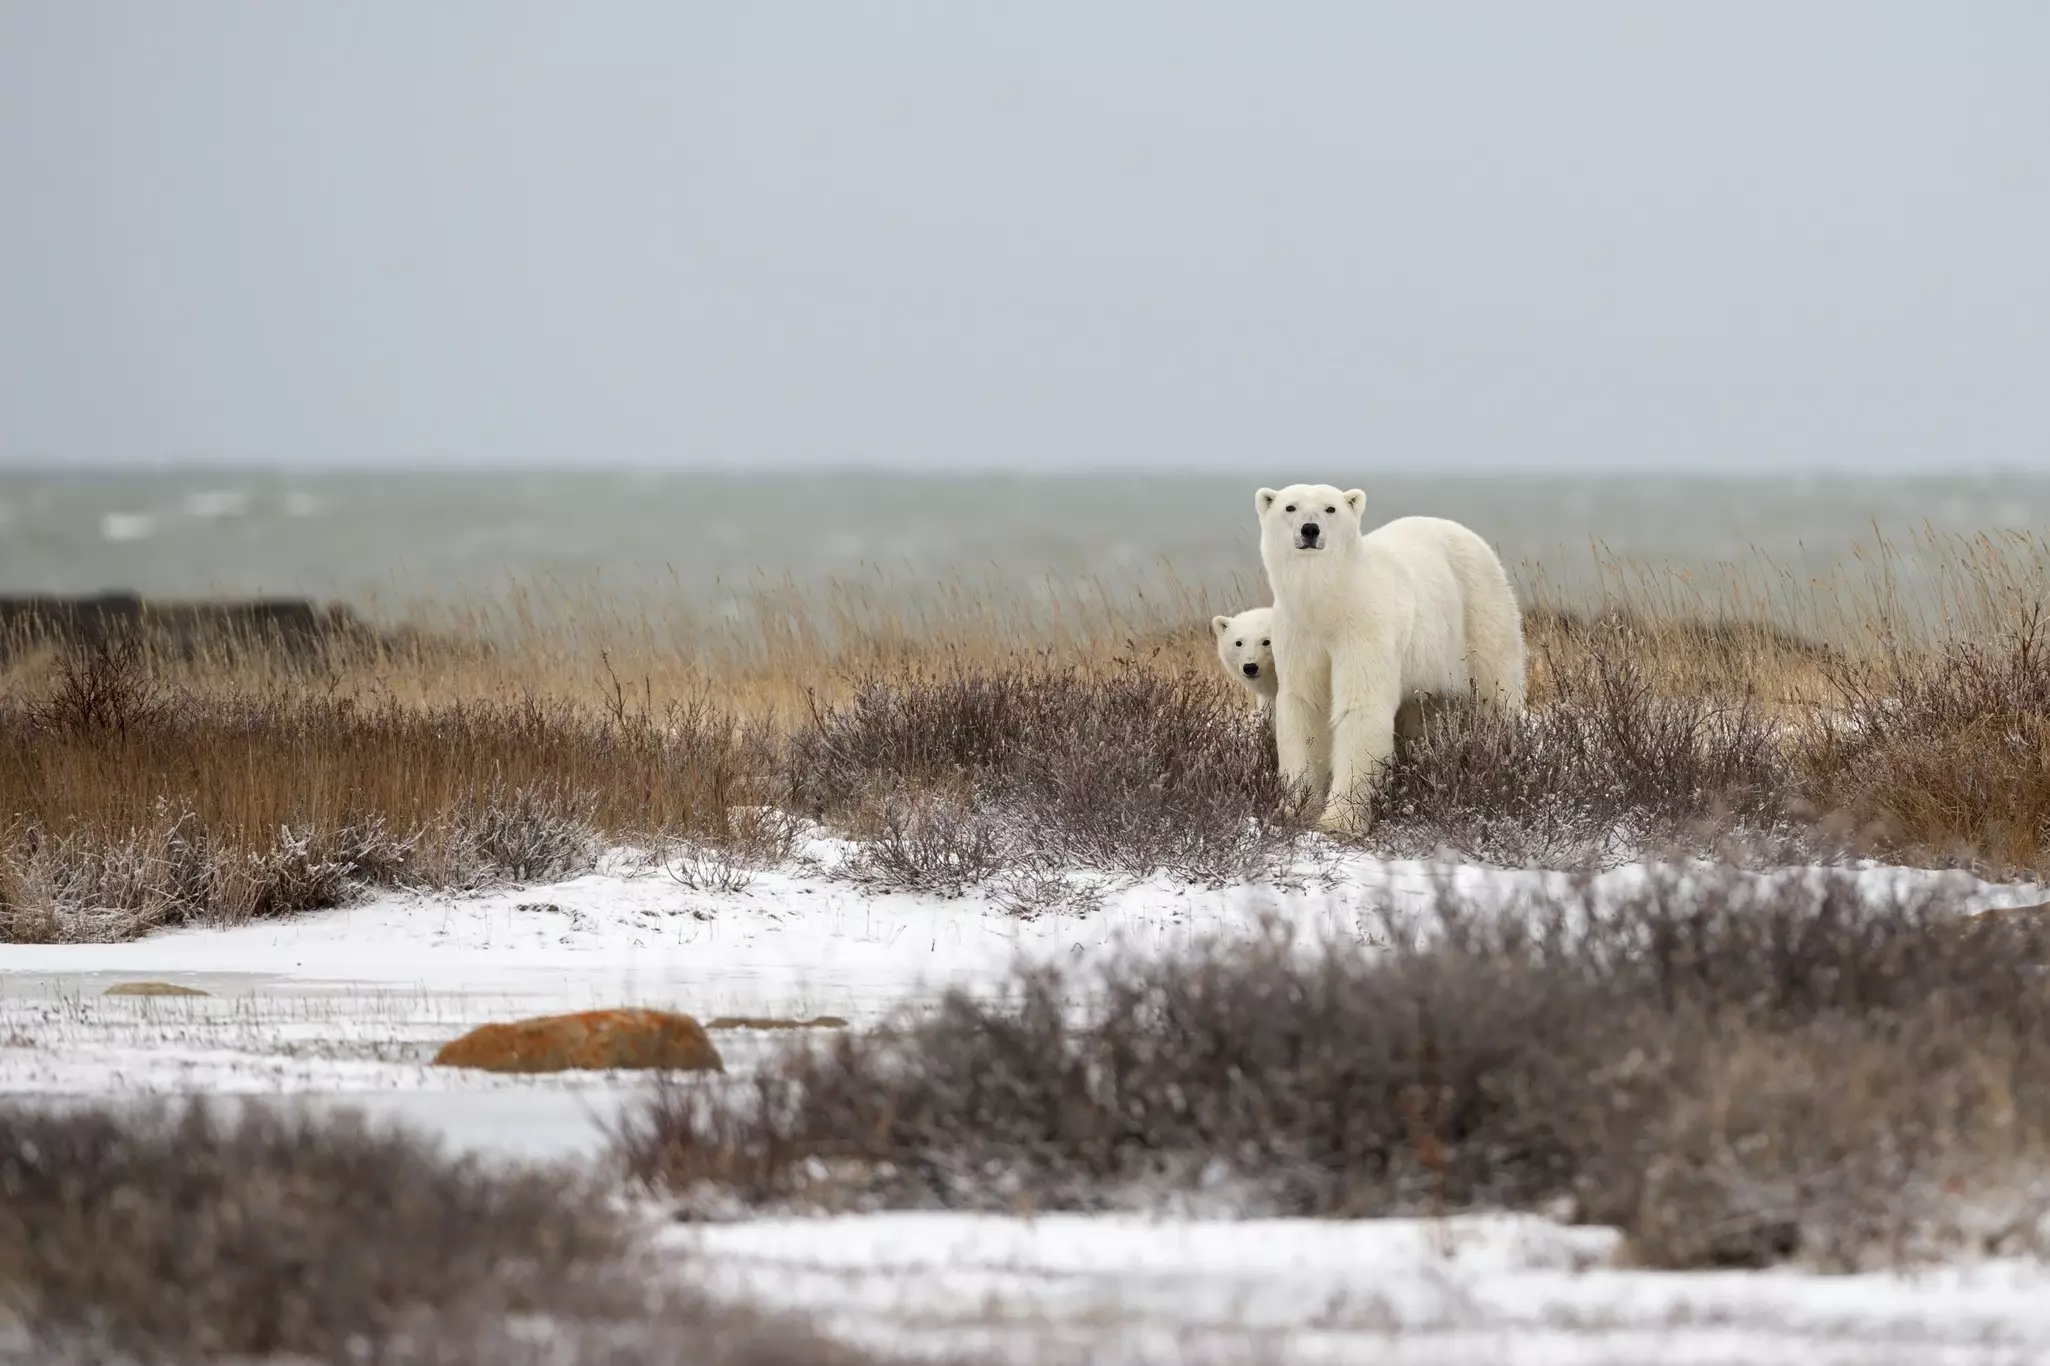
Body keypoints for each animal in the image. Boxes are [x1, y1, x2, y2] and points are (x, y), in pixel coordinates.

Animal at [1256, 485, 1526, 834]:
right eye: (1290, 507)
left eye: (1330, 508)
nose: (1310, 530)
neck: (1328, 603)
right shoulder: (1298, 632)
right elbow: (1305, 706)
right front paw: (1293, 809)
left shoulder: (1364, 624)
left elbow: (1361, 707)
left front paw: (1338, 820)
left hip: (1480, 612)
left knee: (1496, 691)